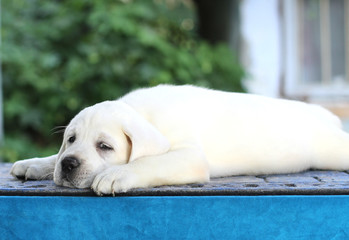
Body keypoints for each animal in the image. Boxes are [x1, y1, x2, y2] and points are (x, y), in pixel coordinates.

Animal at [9, 84, 348, 195]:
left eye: (104, 147)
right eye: (71, 140)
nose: (69, 164)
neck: (144, 113)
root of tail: (325, 115)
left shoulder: (189, 157)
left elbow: (148, 162)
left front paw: (117, 174)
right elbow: (49, 158)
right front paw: (36, 163)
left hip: (332, 148)